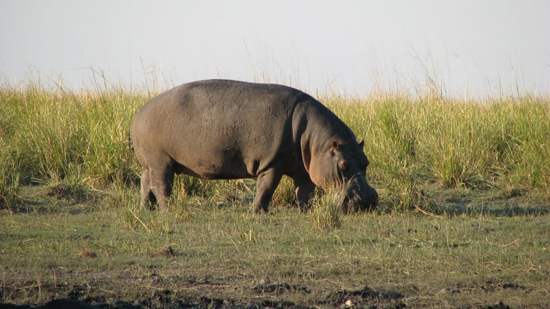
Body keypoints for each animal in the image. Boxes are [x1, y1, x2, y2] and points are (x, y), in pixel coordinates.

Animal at [130, 79, 380, 212]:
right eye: (344, 165)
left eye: (366, 162)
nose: (368, 200)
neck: (316, 141)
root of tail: (138, 113)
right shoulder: (272, 164)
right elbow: (266, 188)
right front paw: (259, 212)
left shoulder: (305, 168)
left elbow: (305, 191)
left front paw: (305, 210)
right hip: (161, 161)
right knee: (162, 186)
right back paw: (167, 209)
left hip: (151, 163)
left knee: (145, 182)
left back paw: (145, 209)